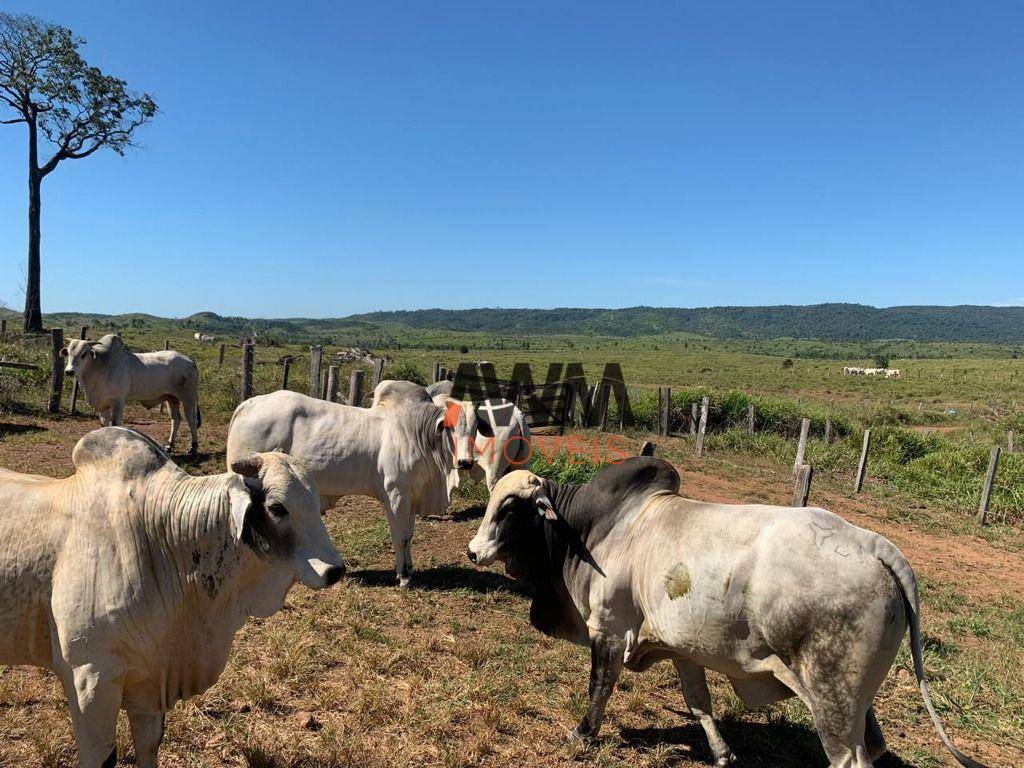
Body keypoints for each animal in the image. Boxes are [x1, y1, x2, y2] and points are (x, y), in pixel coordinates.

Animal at [0, 428, 346, 768]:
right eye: (277, 508)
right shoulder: (88, 679)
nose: (335, 570)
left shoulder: (151, 681)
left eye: (315, 502)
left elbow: (148, 745)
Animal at [63, 333, 201, 454]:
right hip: (171, 398)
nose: (69, 371)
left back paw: (193, 447)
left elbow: (115, 424)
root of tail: (190, 360)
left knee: (191, 420)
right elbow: (104, 425)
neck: (100, 366)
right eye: (68, 353)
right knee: (175, 419)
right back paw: (170, 446)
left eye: (83, 354)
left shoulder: (118, 401)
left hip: (188, 396)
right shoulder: (102, 404)